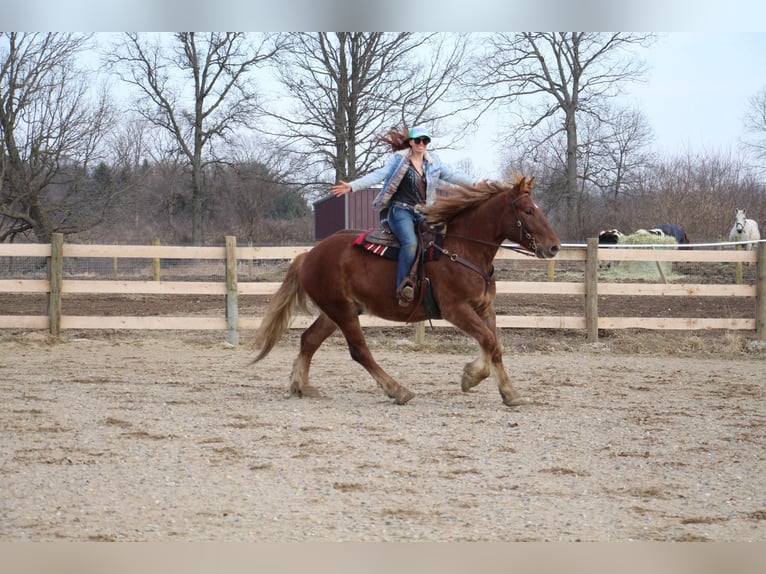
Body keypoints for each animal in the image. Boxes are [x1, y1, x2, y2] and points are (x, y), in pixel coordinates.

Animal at [255, 178, 560, 408]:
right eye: (527, 211)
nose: (554, 246)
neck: (462, 250)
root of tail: (308, 255)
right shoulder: (456, 309)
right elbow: (488, 340)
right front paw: (471, 377)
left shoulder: (485, 308)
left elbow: (494, 345)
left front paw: (508, 392)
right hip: (342, 312)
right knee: (359, 351)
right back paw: (397, 390)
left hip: (336, 311)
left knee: (309, 340)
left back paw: (301, 386)